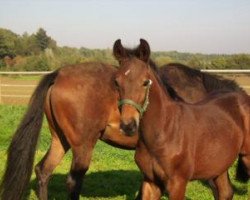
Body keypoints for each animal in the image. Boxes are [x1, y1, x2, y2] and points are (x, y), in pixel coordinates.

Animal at [114, 41, 250, 198]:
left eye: (145, 82)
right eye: (116, 82)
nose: (128, 126)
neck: (165, 131)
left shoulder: (177, 183)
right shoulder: (151, 181)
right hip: (219, 165)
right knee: (225, 192)